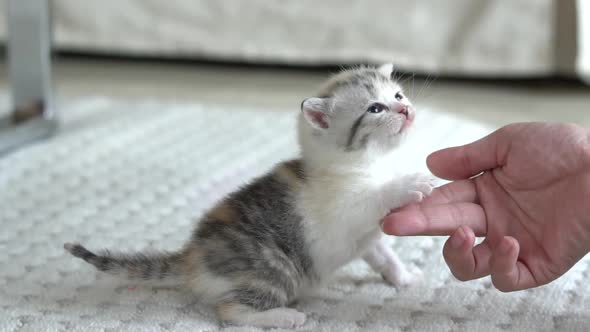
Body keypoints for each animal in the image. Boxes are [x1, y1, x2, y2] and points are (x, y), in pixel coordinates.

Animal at [65, 63, 434, 328]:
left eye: (398, 96)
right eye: (375, 109)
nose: (406, 110)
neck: (370, 162)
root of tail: (192, 256)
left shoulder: (367, 236)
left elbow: (383, 253)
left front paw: (402, 277)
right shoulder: (345, 211)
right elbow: (373, 198)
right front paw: (408, 184)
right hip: (274, 268)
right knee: (230, 310)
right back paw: (284, 316)